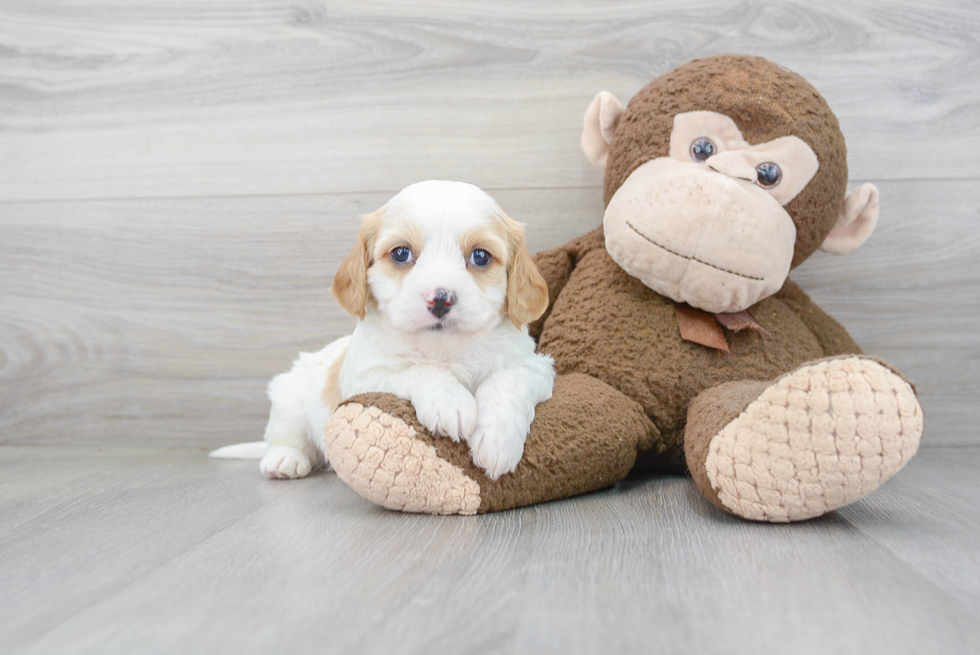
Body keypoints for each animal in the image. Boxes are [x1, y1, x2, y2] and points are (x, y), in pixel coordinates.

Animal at [211, 179, 556, 482]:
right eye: (401, 253)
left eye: (480, 256)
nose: (440, 298)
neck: (446, 350)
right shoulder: (367, 376)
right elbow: (419, 370)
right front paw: (450, 402)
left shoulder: (535, 366)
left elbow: (507, 382)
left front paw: (498, 440)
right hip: (289, 396)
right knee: (286, 437)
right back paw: (285, 459)